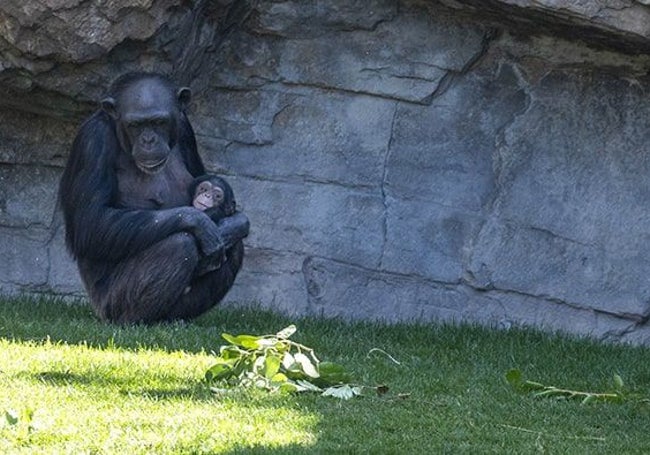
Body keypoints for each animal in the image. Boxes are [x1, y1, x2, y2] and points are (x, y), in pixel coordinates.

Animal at [57, 72, 248, 324]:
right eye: (136, 125)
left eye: (159, 122)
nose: (149, 140)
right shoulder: (92, 141)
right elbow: (91, 221)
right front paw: (201, 222)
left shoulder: (185, 128)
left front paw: (233, 223)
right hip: (110, 304)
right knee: (179, 244)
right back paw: (134, 321)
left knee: (234, 247)